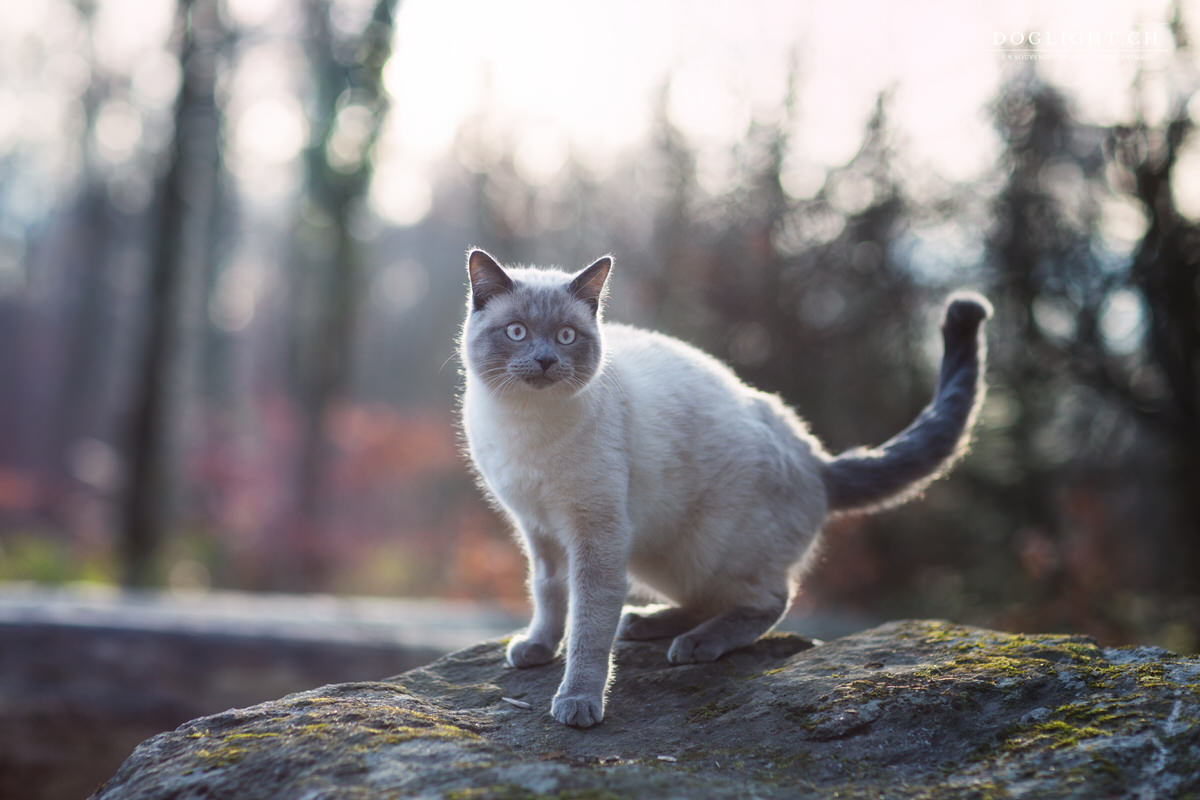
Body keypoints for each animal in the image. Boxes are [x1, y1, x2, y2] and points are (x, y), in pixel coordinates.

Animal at [453, 248, 988, 724]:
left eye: (566, 336)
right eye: (517, 332)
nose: (545, 360)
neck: (527, 426)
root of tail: (816, 459)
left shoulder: (595, 533)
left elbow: (587, 624)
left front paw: (578, 702)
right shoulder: (537, 527)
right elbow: (548, 593)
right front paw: (538, 648)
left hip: (704, 547)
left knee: (769, 600)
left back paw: (693, 644)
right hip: (660, 555)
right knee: (705, 599)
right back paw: (644, 624)